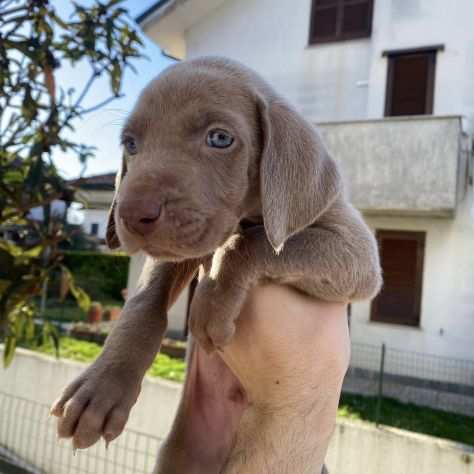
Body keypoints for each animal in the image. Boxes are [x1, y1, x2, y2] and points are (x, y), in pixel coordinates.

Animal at [50, 57, 382, 472]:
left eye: (220, 139)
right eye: (130, 144)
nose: (131, 214)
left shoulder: (357, 253)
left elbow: (252, 243)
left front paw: (211, 306)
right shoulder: (176, 250)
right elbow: (143, 304)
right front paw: (102, 387)